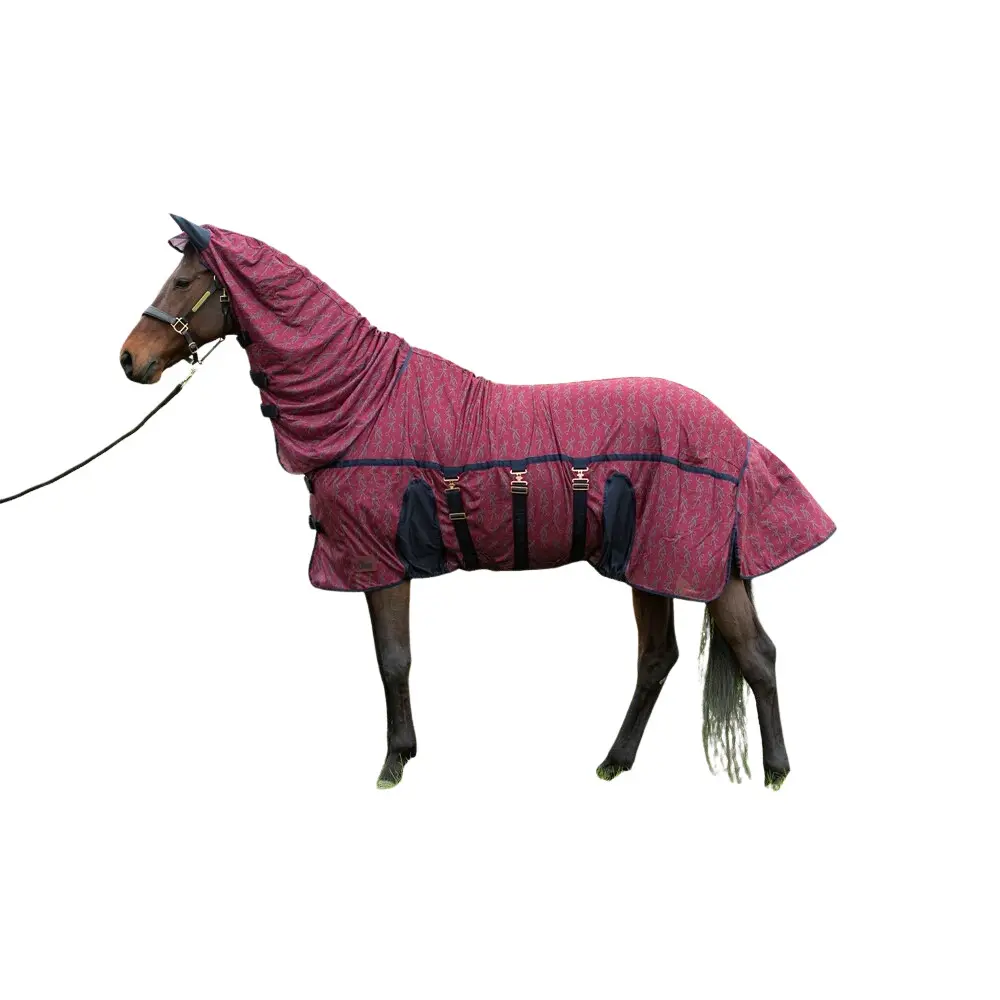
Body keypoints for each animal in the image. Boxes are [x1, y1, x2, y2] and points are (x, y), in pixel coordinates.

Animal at [120, 215, 835, 791]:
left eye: (184, 281)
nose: (130, 359)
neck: (364, 401)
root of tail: (735, 435)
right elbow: (395, 660)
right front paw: (402, 755)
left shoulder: (381, 562)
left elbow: (393, 660)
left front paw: (393, 764)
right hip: (650, 568)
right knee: (658, 659)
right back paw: (614, 762)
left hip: (696, 568)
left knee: (756, 656)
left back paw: (776, 773)